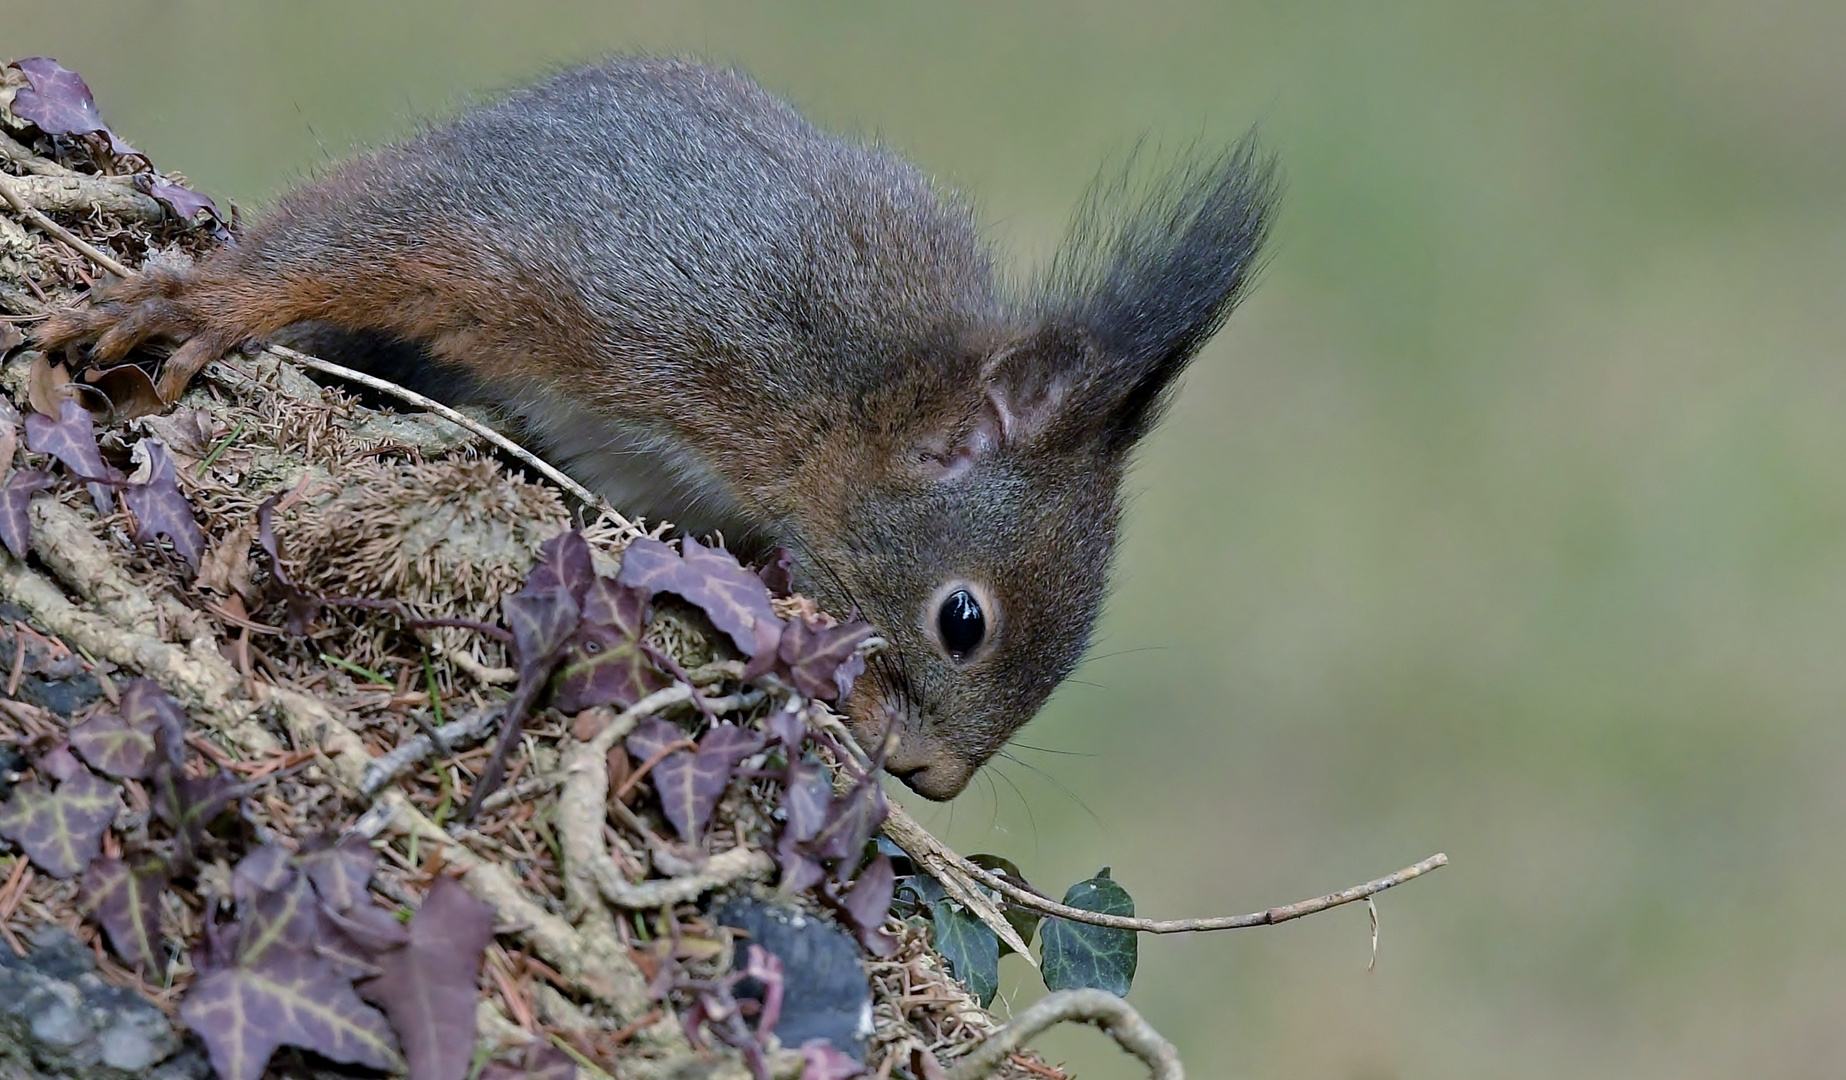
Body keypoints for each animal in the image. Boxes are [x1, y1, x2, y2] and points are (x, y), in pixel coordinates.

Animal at [43, 60, 1284, 801]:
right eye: (962, 621)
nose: (932, 779)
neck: (837, 397)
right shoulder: (626, 271)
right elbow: (378, 233)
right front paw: (209, 304)